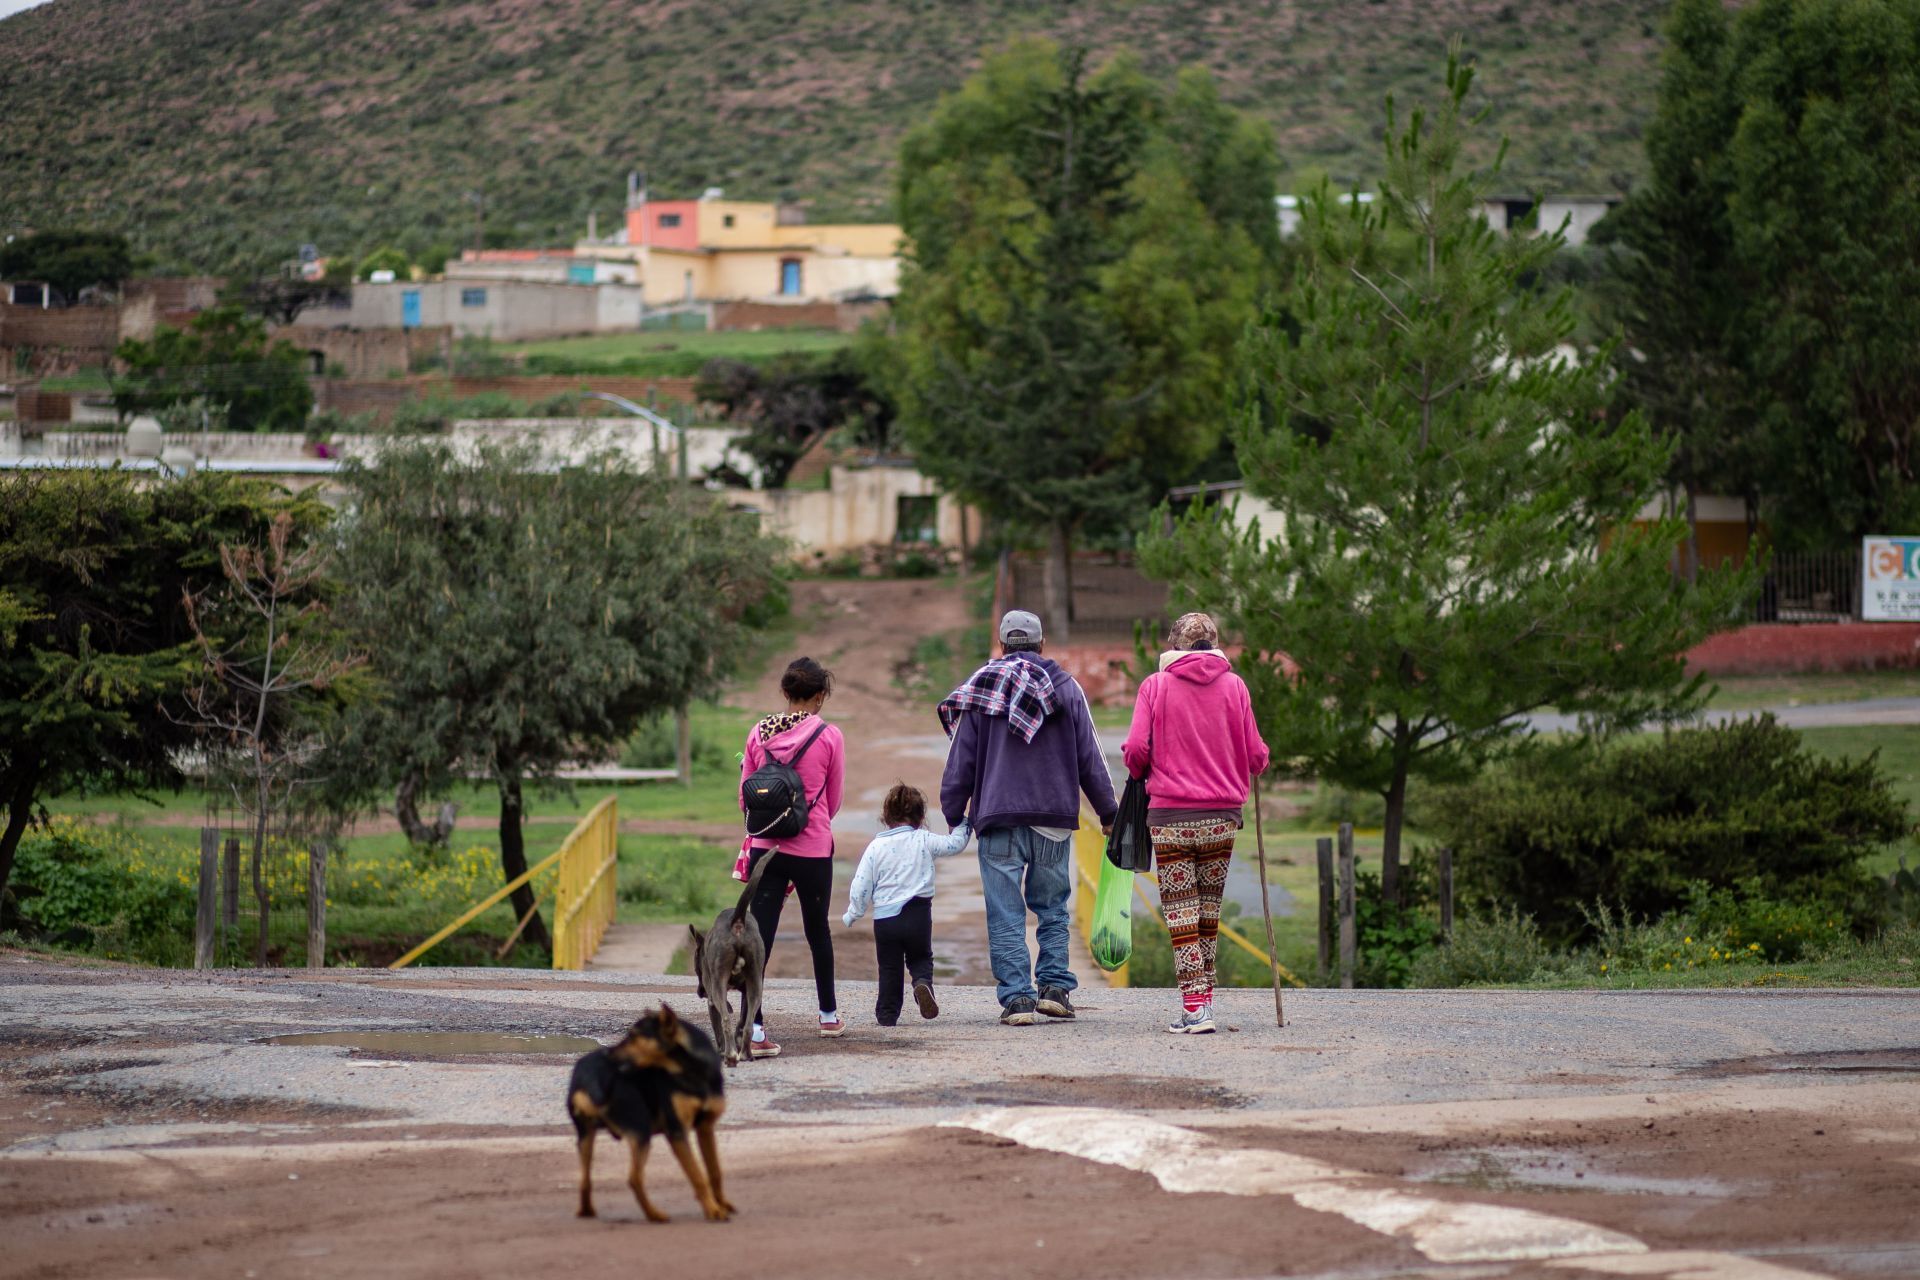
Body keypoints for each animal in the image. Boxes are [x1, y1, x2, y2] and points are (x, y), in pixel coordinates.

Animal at [564, 1005, 729, 1228]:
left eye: (634, 1036)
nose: (607, 1051)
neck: (692, 1071)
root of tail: (589, 1077)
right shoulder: (677, 1133)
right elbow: (697, 1175)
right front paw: (713, 1210)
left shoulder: (705, 1127)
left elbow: (714, 1171)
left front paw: (722, 1204)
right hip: (641, 1132)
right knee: (634, 1179)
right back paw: (654, 1215)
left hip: (586, 1138)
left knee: (585, 1179)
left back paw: (587, 1211)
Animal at [691, 852, 771, 1074]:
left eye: (695, 968)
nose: (699, 992)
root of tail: (737, 920)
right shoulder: (746, 991)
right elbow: (743, 1020)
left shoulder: (711, 998)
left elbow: (719, 1026)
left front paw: (720, 1050)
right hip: (756, 983)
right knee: (749, 1024)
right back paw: (747, 1054)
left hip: (718, 985)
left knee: (726, 1020)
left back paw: (730, 1057)